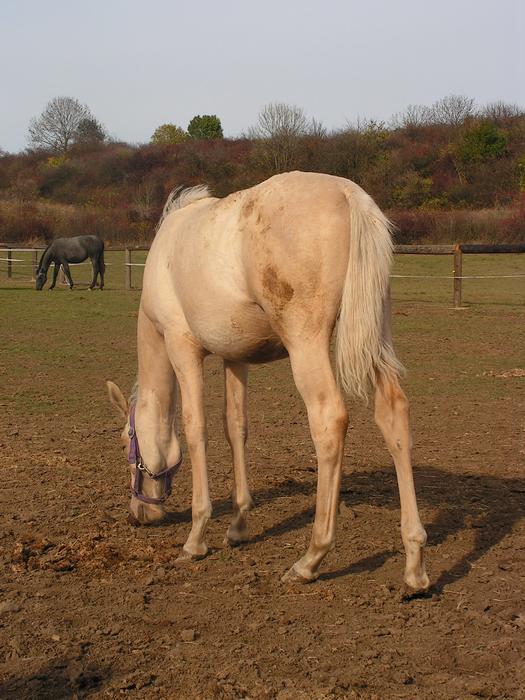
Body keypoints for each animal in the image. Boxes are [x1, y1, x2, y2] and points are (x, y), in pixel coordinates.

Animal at [106, 171, 430, 592]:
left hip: (307, 342)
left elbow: (195, 429)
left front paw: (196, 538)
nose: (137, 515)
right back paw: (414, 561)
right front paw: (239, 524)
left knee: (329, 420)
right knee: (393, 412)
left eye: (125, 443)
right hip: (372, 334)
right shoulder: (234, 357)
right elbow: (235, 427)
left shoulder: (182, 348)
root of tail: (349, 195)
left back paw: (311, 558)